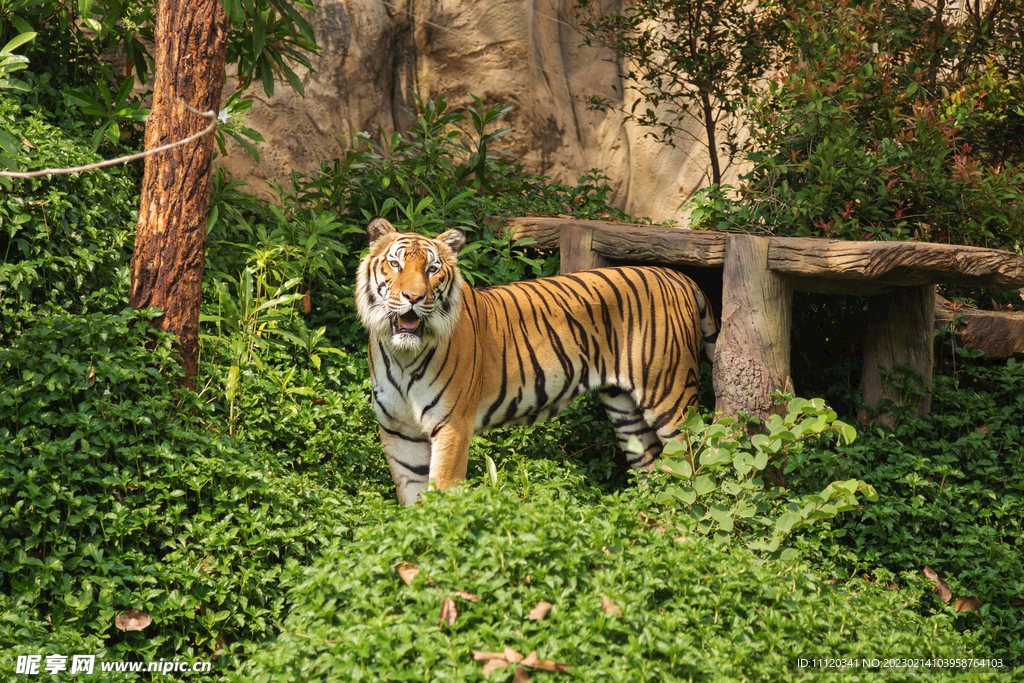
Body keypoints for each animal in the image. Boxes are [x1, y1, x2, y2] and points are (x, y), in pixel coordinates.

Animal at [356, 216, 716, 505]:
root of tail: (677, 276)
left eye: (432, 270)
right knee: (653, 467)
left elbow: (442, 493)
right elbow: (412, 499)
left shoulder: (452, 426)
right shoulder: (399, 431)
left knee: (693, 460)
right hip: (625, 411)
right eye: (395, 265)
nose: (413, 298)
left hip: (668, 396)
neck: (404, 355)